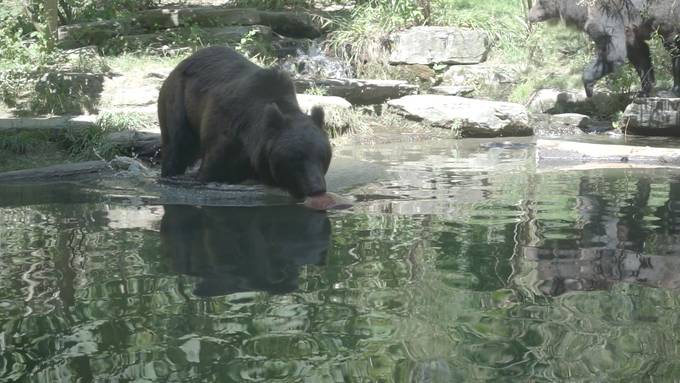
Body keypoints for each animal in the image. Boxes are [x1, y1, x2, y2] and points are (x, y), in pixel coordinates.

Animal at [157, 46, 332, 200]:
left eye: (323, 156)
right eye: (296, 157)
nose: (316, 189)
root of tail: (182, 62)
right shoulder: (227, 132)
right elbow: (209, 172)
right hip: (178, 101)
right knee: (177, 146)